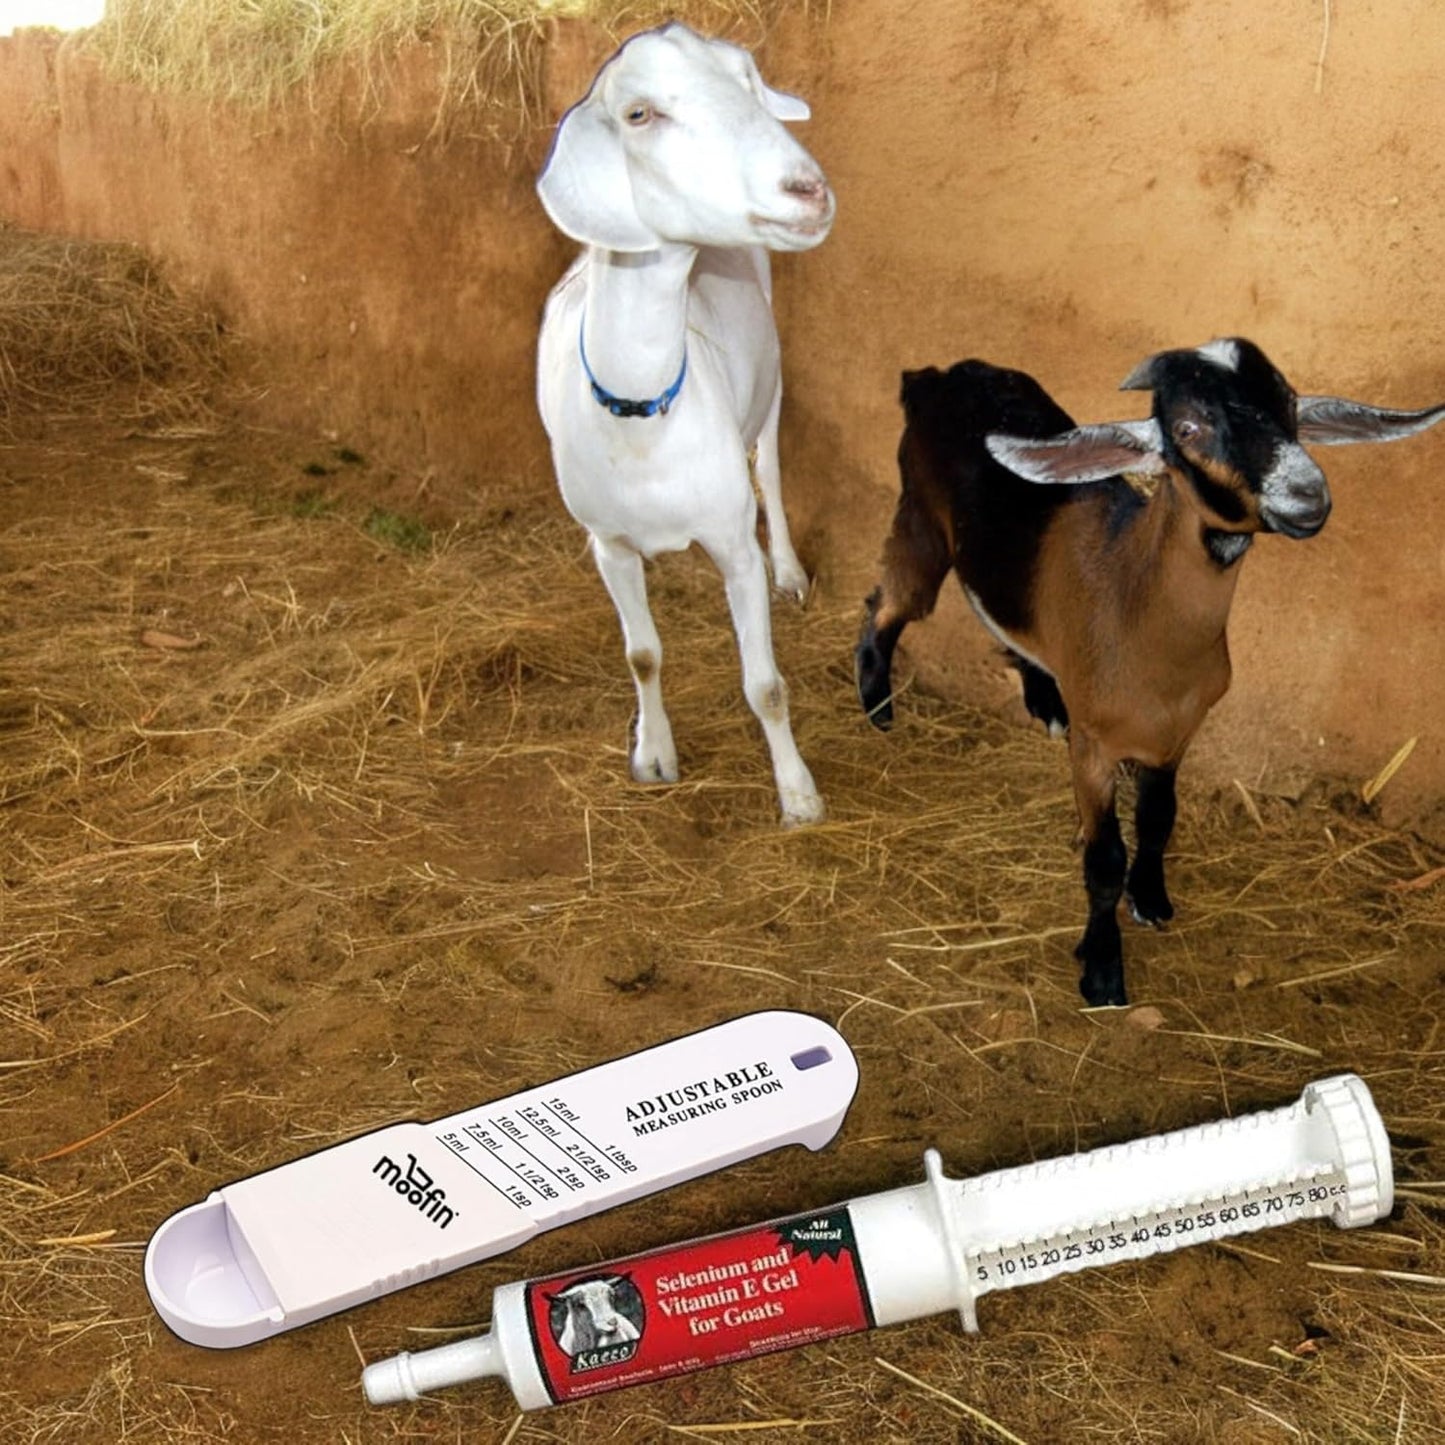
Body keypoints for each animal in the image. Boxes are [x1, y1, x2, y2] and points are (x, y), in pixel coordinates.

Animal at [536, 23, 834, 826]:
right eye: (638, 114)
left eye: (747, 79)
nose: (806, 189)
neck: (642, 417)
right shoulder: (606, 544)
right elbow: (641, 656)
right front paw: (652, 755)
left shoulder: (731, 541)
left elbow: (766, 685)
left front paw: (798, 796)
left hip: (771, 371)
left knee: (768, 465)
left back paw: (789, 569)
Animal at [856, 338, 1445, 1006]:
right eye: (1188, 428)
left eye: (1292, 405)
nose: (1307, 496)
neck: (1133, 602)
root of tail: (935, 375)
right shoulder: (1094, 748)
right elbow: (1104, 858)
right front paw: (1102, 969)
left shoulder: (1176, 736)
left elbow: (1159, 821)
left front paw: (1153, 898)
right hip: (920, 515)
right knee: (890, 603)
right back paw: (877, 704)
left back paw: (1042, 696)